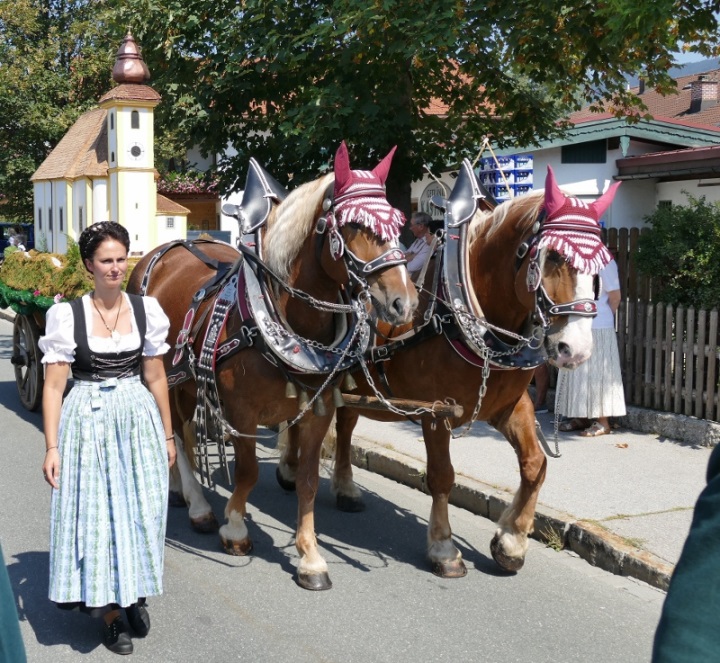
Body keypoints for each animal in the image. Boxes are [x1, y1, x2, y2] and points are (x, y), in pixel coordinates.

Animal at [124, 143, 416, 588]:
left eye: (398, 224)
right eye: (352, 226)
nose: (404, 303)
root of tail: (165, 250)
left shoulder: (317, 411)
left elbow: (309, 482)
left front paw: (310, 556)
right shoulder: (241, 412)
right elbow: (247, 473)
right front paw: (235, 527)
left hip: (186, 378)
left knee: (184, 430)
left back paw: (180, 491)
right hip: (162, 372)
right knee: (174, 427)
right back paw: (198, 505)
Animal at [278, 163, 616, 580]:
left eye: (600, 266)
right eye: (552, 256)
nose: (577, 349)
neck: (465, 315)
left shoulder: (509, 406)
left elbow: (535, 465)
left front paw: (511, 541)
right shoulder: (435, 411)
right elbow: (442, 475)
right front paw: (443, 548)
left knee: (345, 425)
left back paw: (345, 488)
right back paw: (290, 469)